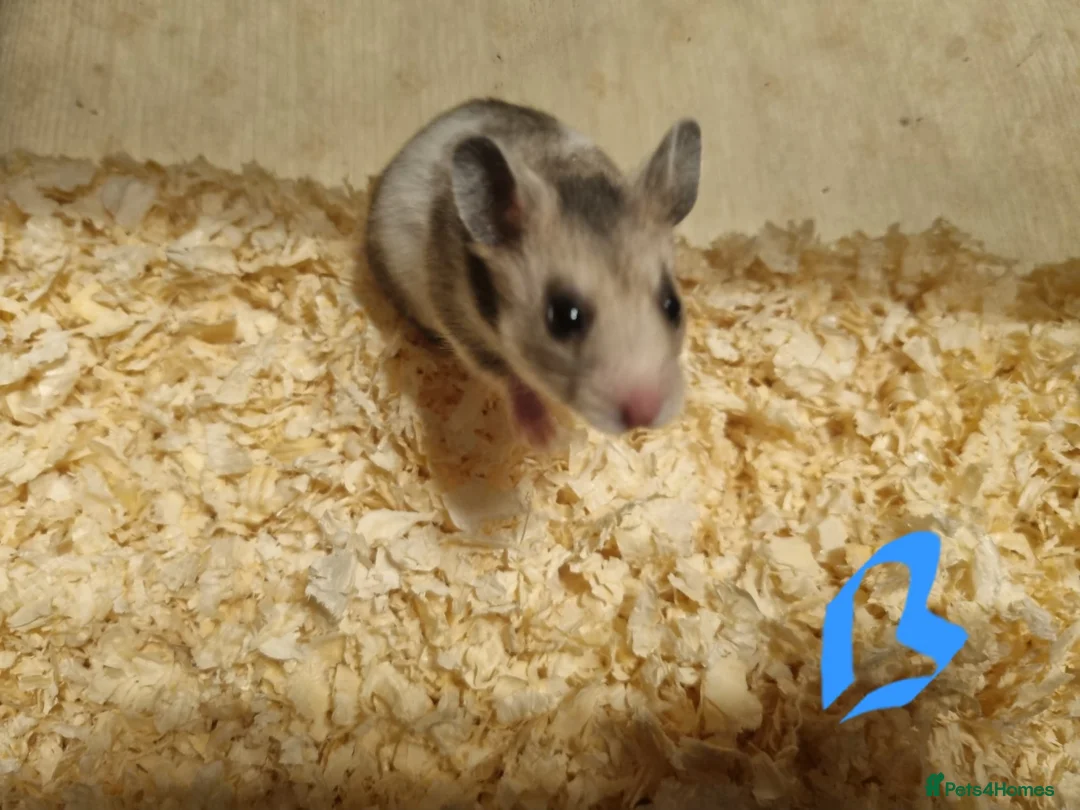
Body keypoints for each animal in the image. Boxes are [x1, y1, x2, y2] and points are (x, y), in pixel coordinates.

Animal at [364, 98, 702, 447]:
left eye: (673, 306)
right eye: (563, 317)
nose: (645, 416)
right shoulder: (460, 322)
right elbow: (507, 375)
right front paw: (550, 440)